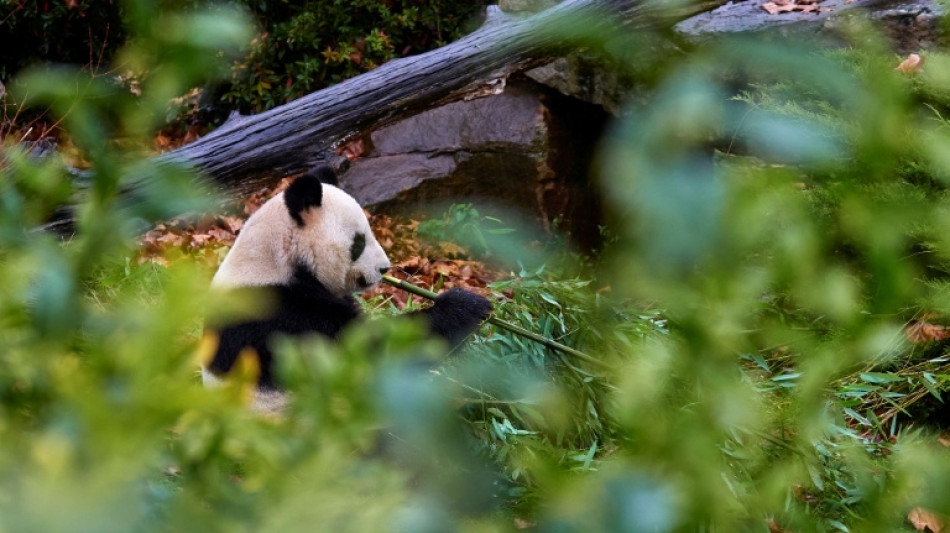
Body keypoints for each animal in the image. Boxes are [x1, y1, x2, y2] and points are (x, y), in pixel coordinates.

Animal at [202, 166, 493, 413]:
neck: (275, 259)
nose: (384, 269)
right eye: (359, 242)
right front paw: (465, 305)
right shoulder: (285, 316)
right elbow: (370, 353)